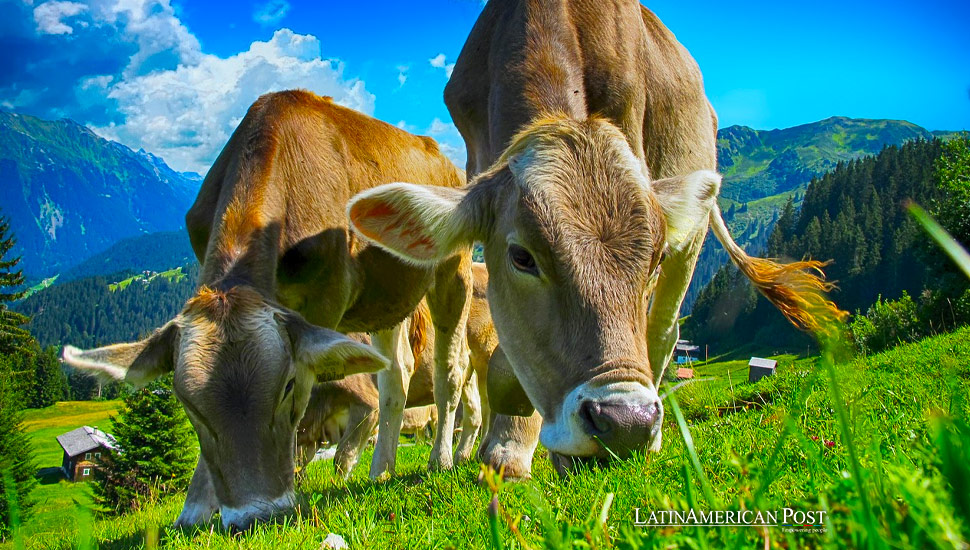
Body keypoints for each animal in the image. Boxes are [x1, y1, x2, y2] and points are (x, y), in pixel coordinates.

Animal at [60, 90, 472, 532]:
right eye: (188, 405)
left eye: (288, 386)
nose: (256, 515)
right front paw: (195, 509)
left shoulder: (324, 302)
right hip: (386, 300)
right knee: (396, 375)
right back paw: (381, 470)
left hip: (453, 271)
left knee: (450, 370)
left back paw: (441, 460)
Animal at [298, 266, 496, 476]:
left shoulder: (366, 404)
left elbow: (342, 456)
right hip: (468, 373)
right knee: (474, 411)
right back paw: (461, 456)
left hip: (485, 355)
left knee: (488, 406)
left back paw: (480, 451)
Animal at [346, 0, 840, 478]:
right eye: (521, 257)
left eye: (653, 259)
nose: (626, 423)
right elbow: (507, 355)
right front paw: (509, 447)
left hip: (693, 231)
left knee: (664, 329)